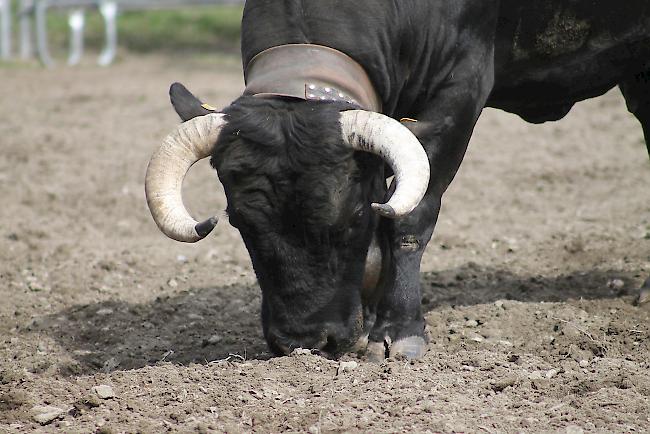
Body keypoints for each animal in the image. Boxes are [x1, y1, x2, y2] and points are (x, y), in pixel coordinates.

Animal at [146, 0, 648, 360]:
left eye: (352, 217)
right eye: (239, 222)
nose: (306, 340)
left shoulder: (458, 94)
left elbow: (408, 218)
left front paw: (398, 330)